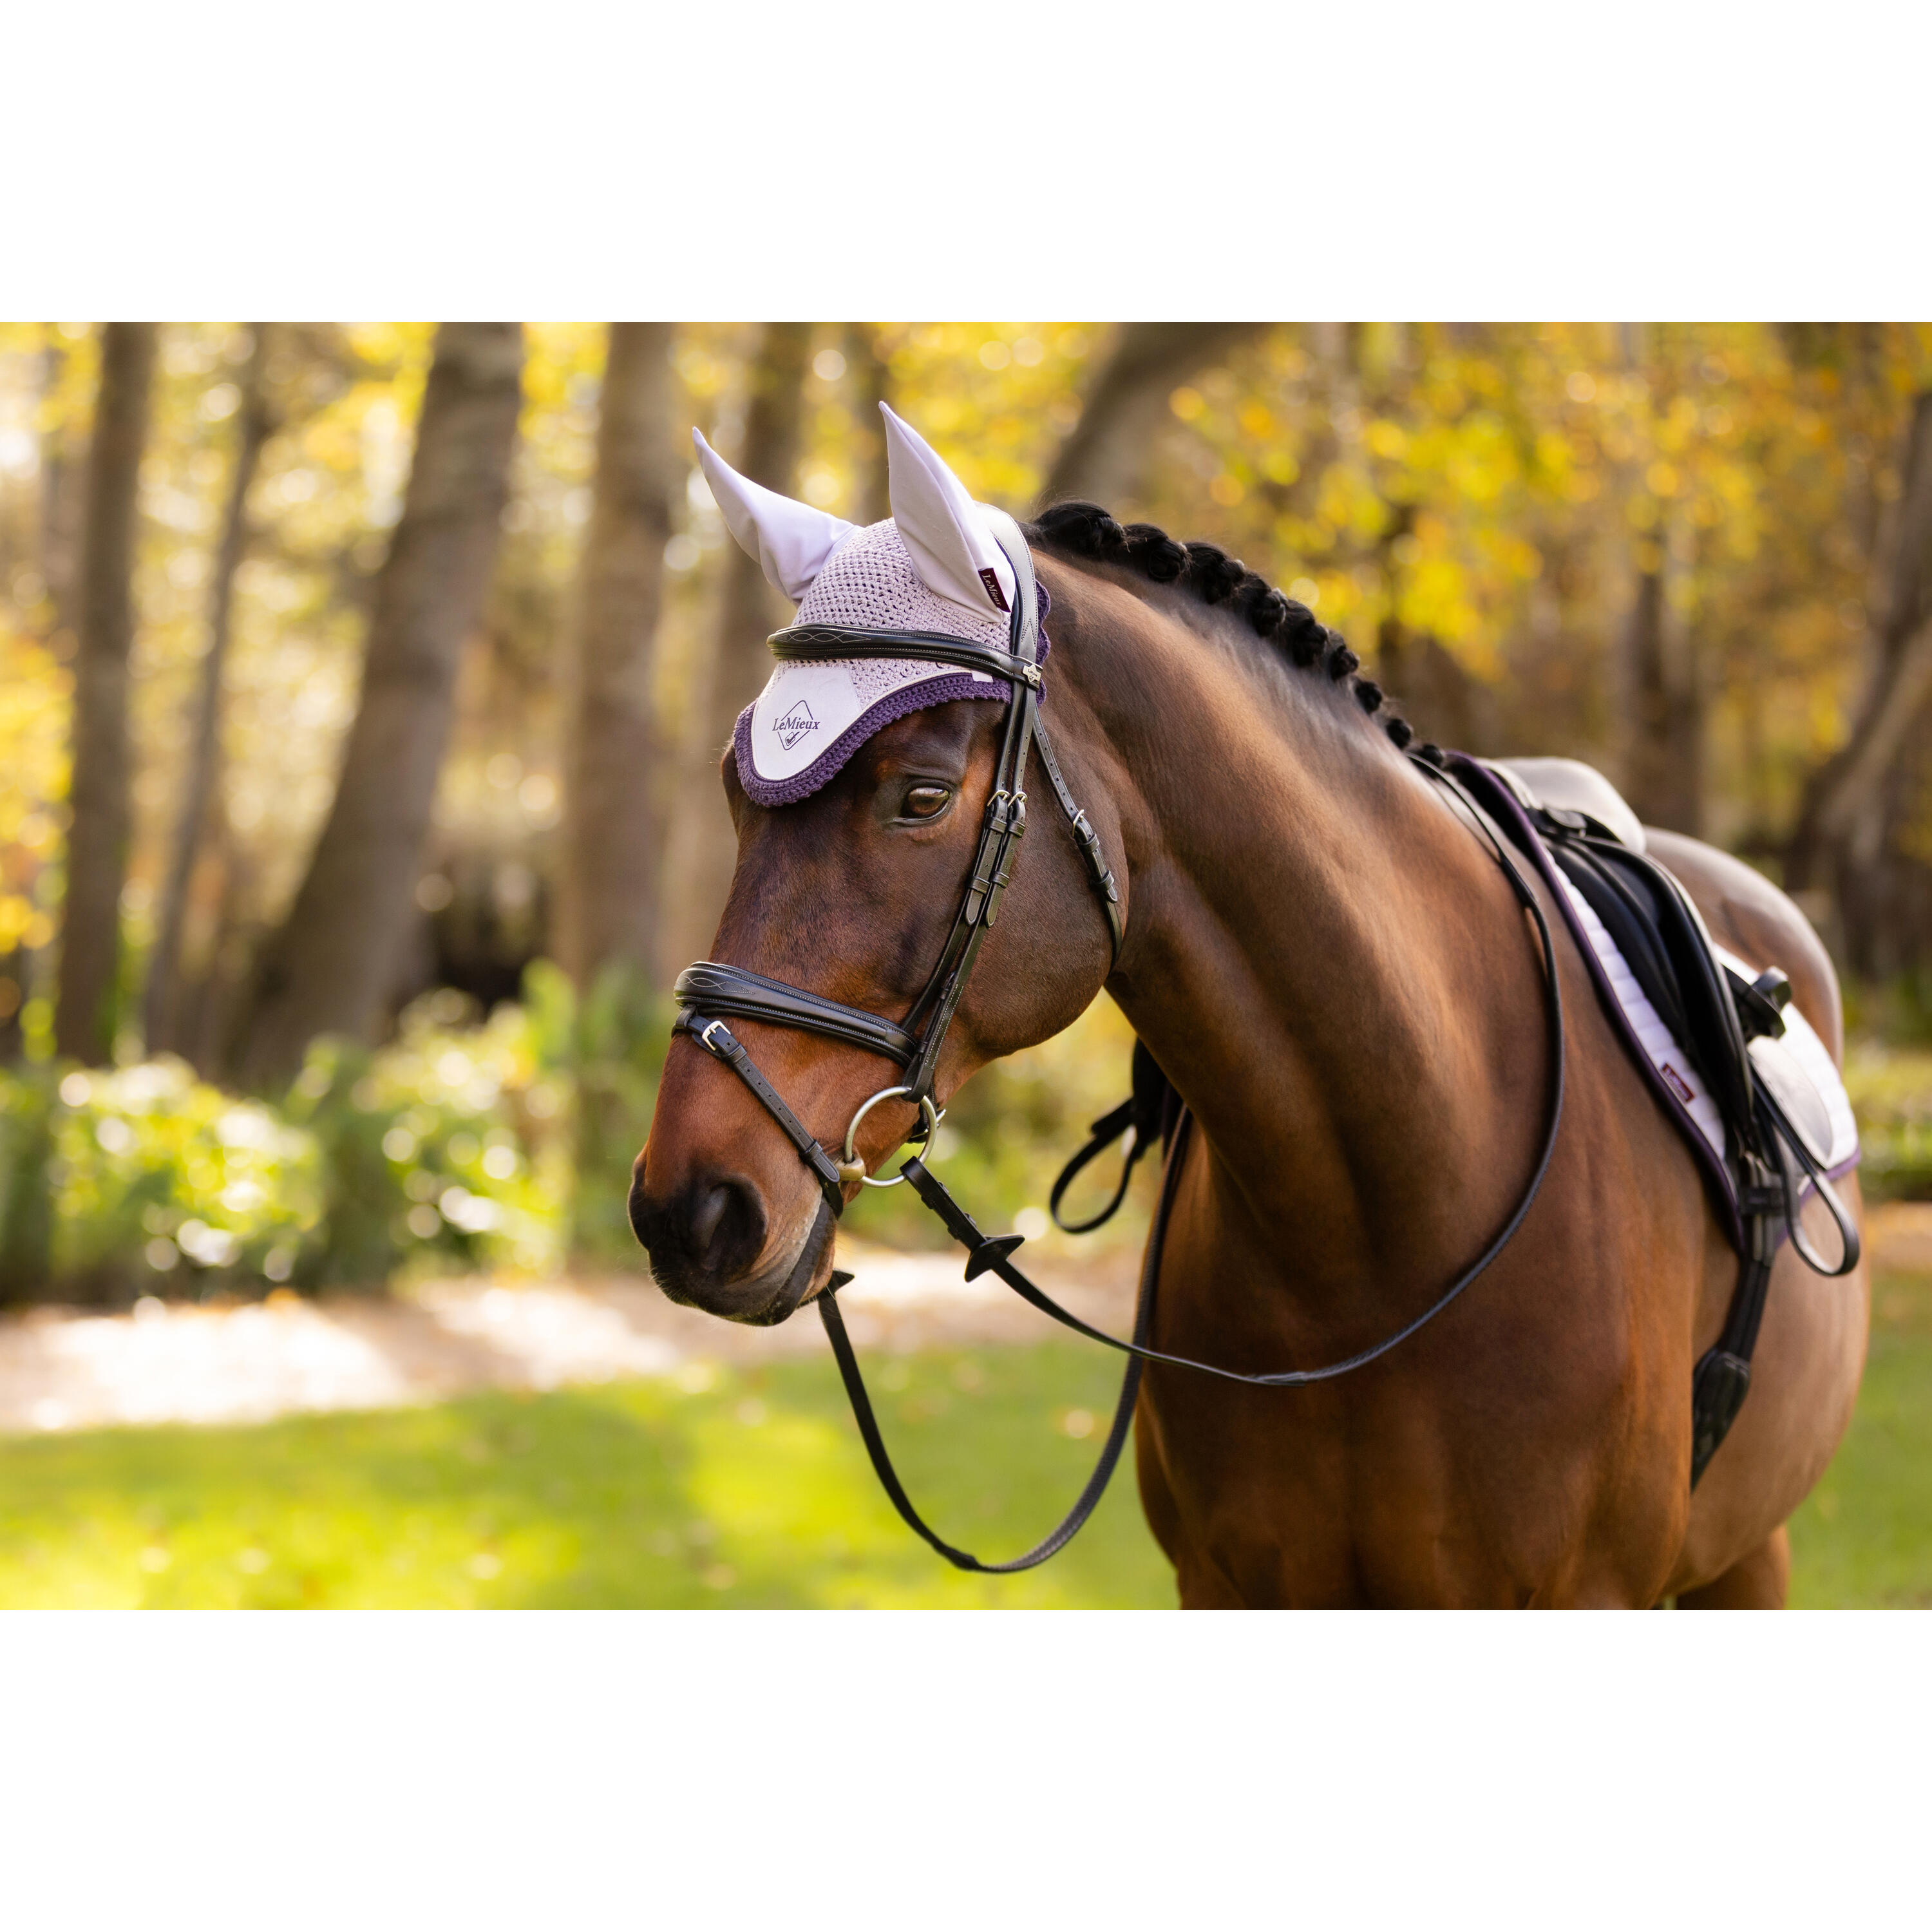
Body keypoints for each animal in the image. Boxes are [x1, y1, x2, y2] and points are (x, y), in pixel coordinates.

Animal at [629, 412, 1868, 1608]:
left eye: (921, 797)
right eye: (737, 794)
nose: (690, 1210)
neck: (1377, 1242)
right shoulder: (1227, 1588)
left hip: (1750, 1557)